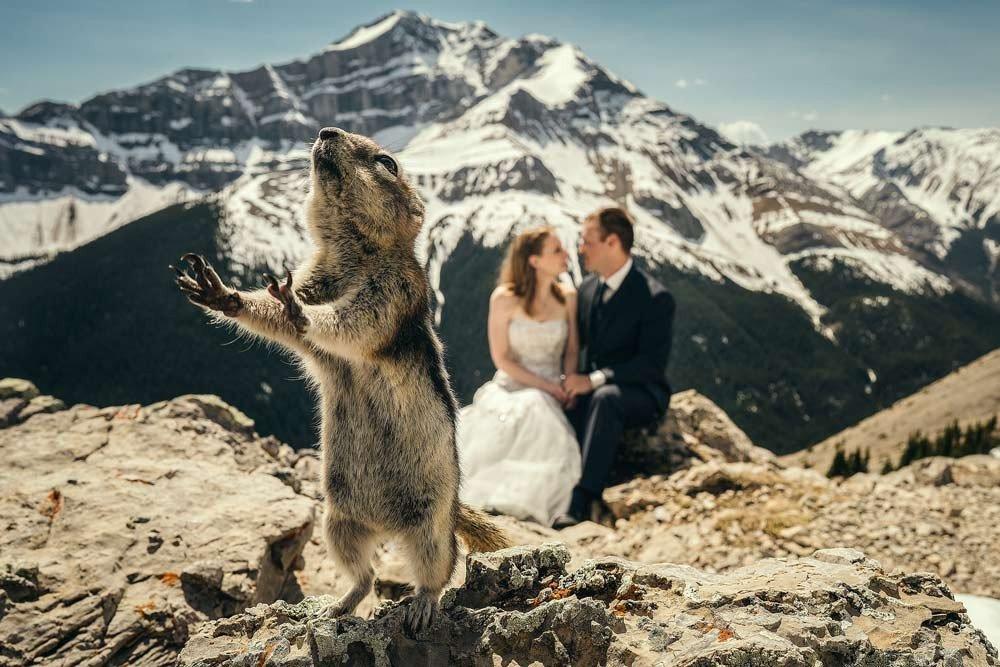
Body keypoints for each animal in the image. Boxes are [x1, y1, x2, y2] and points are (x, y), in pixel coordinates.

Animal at [172, 126, 510, 633]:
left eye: (387, 162)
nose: (325, 131)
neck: (352, 255)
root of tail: (389, 526)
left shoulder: (394, 290)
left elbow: (353, 322)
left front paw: (301, 312)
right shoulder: (314, 275)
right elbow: (278, 318)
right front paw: (224, 294)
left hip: (429, 527)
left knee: (439, 568)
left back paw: (422, 605)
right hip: (338, 521)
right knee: (365, 575)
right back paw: (340, 604)